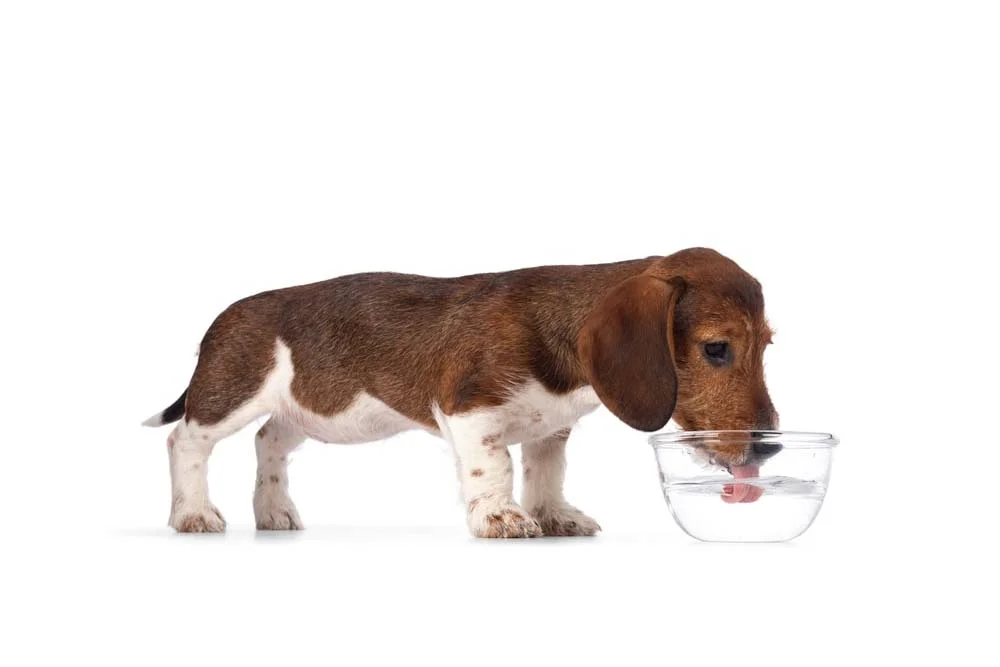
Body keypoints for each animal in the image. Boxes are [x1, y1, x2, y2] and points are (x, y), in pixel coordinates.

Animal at [145, 248, 776, 536]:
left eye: (768, 344)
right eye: (717, 348)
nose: (770, 448)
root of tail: (223, 318)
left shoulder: (551, 430)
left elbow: (546, 475)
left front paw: (555, 517)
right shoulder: (471, 411)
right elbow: (494, 469)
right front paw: (501, 518)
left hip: (305, 410)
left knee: (269, 442)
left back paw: (274, 510)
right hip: (229, 392)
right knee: (186, 442)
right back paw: (193, 513)